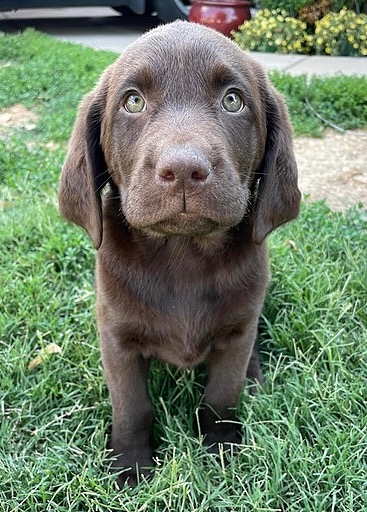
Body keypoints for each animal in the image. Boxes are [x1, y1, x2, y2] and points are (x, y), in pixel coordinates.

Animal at [58, 19, 302, 484]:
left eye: (232, 100)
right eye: (133, 101)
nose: (185, 169)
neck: (183, 255)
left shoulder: (236, 333)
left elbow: (222, 397)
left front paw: (222, 450)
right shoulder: (116, 338)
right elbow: (132, 406)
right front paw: (131, 466)